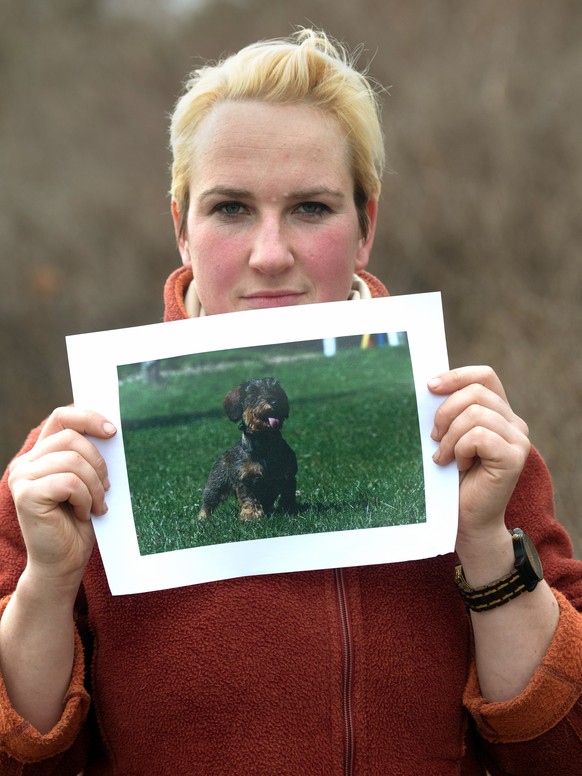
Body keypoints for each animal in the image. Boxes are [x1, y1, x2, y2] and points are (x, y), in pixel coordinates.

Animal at [201, 378, 302, 520]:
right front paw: (251, 514)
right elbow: (249, 498)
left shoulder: (288, 476)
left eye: (275, 390)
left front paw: (289, 510)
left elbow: (288, 496)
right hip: (216, 485)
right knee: (208, 502)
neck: (264, 442)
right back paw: (202, 518)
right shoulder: (245, 479)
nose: (274, 401)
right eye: (253, 392)